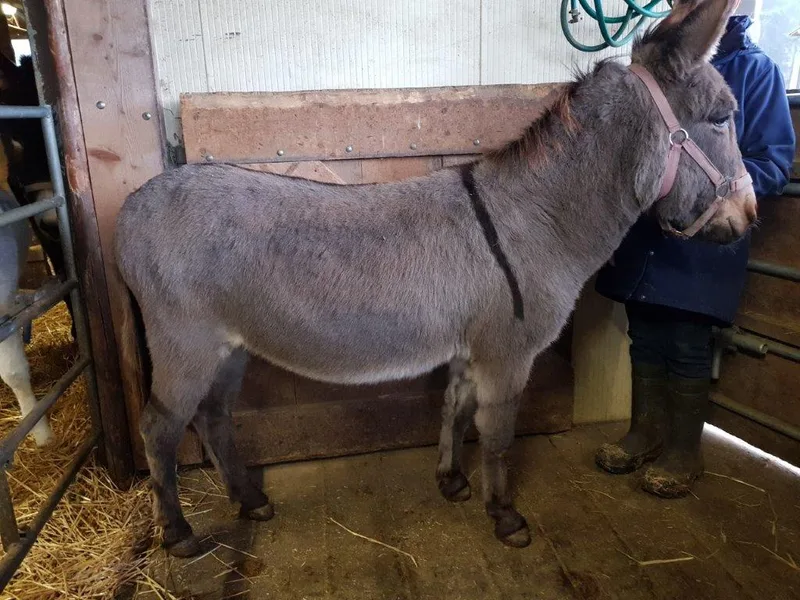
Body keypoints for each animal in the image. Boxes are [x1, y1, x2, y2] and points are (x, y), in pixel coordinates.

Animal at [115, 0, 756, 558]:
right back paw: (179, 535)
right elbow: (497, 434)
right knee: (160, 428)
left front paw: (451, 482)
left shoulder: (471, 347)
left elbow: (455, 408)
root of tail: (132, 205)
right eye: (723, 118)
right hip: (185, 344)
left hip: (231, 347)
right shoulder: (507, 352)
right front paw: (506, 518)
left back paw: (249, 501)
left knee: (212, 417)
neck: (536, 218)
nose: (749, 217)